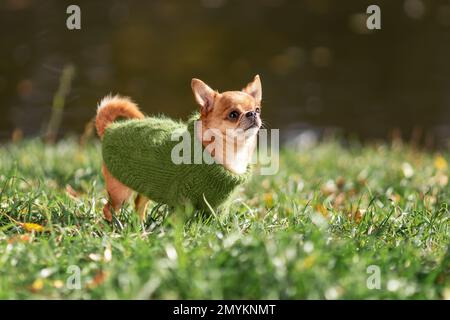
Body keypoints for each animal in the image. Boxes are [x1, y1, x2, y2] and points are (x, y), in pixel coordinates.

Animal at [96, 75, 262, 221]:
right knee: (108, 209)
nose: (252, 114)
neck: (233, 150)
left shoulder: (219, 207)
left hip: (147, 186)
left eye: (258, 109)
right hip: (120, 193)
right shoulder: (183, 202)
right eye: (233, 114)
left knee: (138, 205)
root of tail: (110, 128)